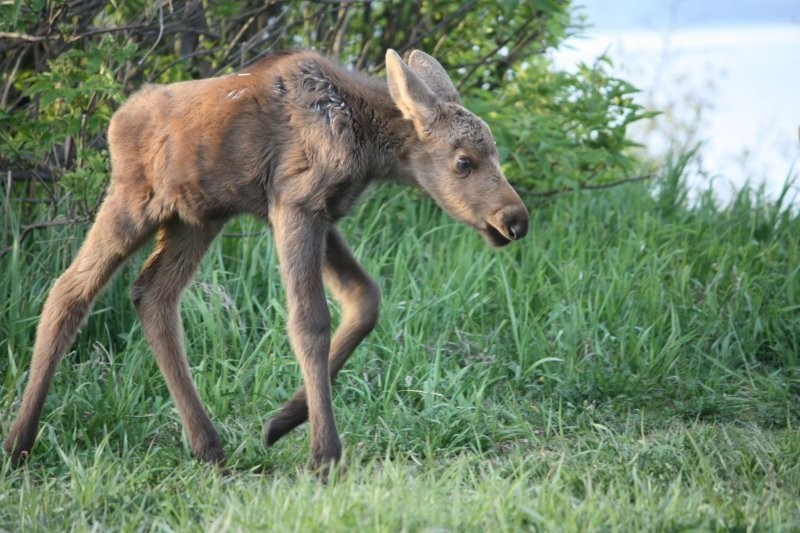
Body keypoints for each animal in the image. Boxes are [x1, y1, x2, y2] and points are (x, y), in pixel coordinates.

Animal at [7, 47, 532, 472]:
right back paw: (19, 443)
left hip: (197, 218)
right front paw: (325, 453)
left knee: (151, 294)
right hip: (133, 203)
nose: (515, 219)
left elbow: (365, 298)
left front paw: (282, 420)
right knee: (70, 289)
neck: (367, 144)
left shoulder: (325, 212)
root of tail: (116, 122)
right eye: (463, 162)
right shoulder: (296, 203)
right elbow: (310, 321)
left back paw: (208, 445)